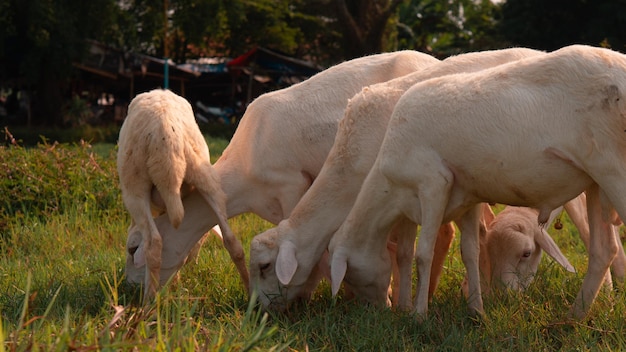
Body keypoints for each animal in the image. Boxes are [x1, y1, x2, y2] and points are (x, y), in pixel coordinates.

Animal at [116, 88, 247, 300]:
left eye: (131, 249)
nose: (128, 284)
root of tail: (165, 138)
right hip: (204, 175)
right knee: (232, 240)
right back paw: (252, 293)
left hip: (133, 186)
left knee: (154, 243)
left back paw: (148, 303)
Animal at [246, 47, 544, 310]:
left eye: (264, 266)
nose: (260, 310)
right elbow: (400, 252)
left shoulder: (401, 196)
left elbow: (403, 253)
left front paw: (401, 305)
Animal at [324, 44, 624, 320]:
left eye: (350, 275)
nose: (376, 309)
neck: (388, 184)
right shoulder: (466, 195)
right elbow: (470, 251)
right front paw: (476, 311)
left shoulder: (433, 184)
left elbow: (423, 254)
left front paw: (418, 316)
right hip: (596, 180)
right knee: (604, 250)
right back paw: (573, 318)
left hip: (614, 169)